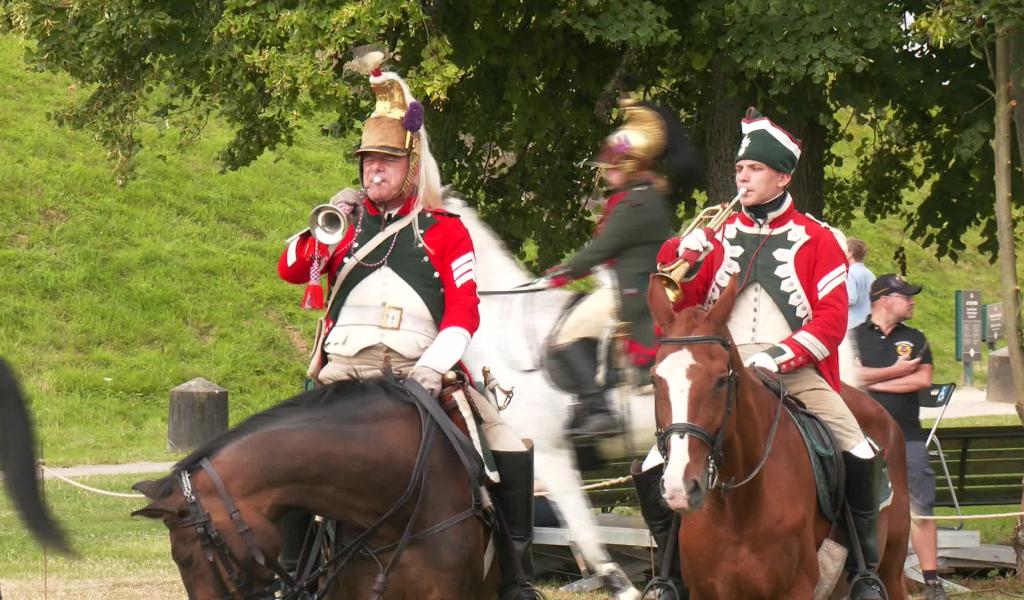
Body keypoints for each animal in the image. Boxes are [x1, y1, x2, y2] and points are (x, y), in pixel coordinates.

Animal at [647, 280, 913, 597]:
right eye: (655, 380)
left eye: (721, 380)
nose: (681, 487)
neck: (736, 509)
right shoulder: (704, 592)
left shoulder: (796, 589)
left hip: (891, 571)